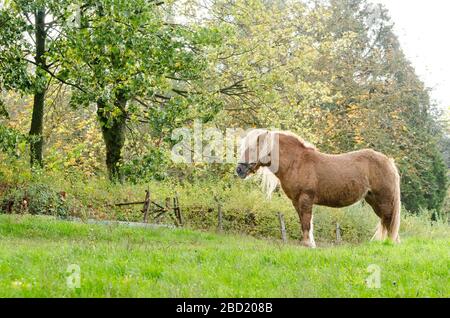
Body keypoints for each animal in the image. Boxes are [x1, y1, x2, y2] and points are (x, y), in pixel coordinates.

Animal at [236, 128, 400, 247]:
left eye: (252, 149)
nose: (239, 170)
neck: (296, 162)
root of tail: (388, 161)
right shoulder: (296, 201)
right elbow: (303, 222)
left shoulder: (305, 199)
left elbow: (306, 222)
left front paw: (308, 244)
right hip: (373, 201)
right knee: (387, 222)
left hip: (384, 201)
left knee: (389, 221)